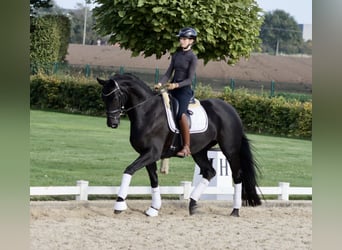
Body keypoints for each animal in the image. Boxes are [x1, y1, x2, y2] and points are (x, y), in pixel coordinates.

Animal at [97, 73, 262, 217]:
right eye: (103, 97)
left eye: (115, 97)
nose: (112, 123)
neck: (148, 112)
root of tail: (231, 110)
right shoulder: (147, 154)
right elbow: (154, 179)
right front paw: (153, 209)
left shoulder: (152, 153)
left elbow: (129, 170)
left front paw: (119, 205)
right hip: (199, 151)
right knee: (210, 172)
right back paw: (193, 204)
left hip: (230, 150)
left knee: (237, 175)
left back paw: (235, 210)